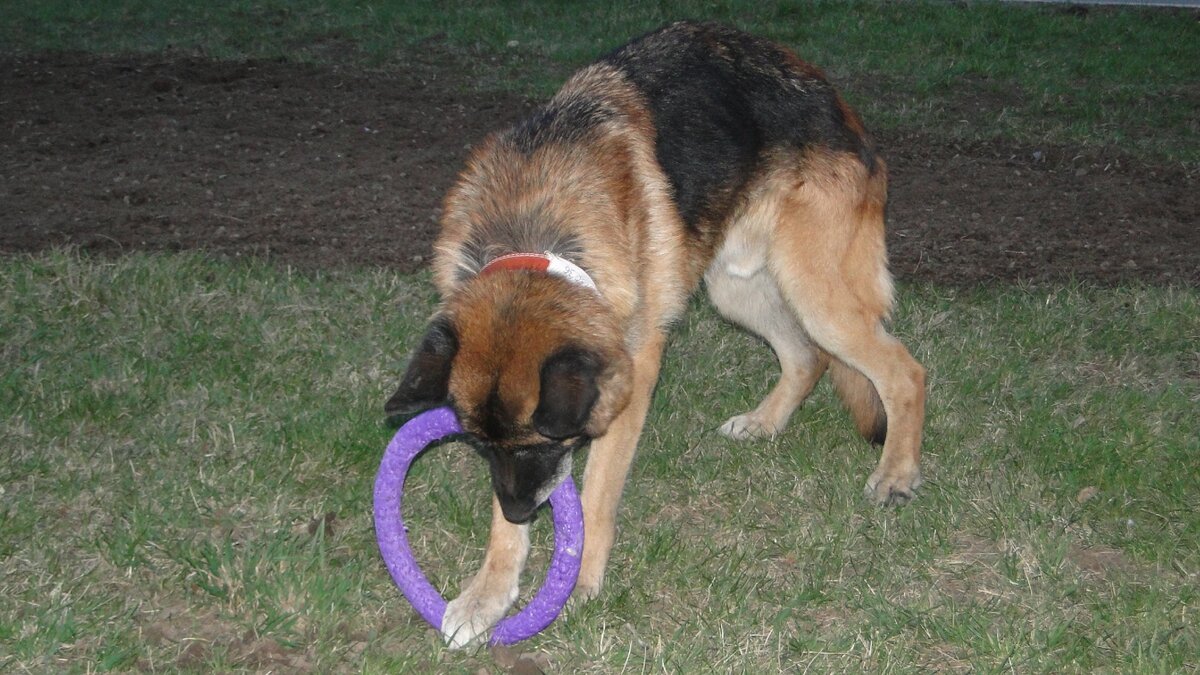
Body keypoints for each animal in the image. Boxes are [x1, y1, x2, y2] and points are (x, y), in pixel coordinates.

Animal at [384, 18, 926, 643]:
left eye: (545, 441)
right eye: (477, 445)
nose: (524, 511)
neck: (535, 233)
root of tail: (836, 102)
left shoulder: (629, 380)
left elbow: (595, 494)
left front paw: (578, 579)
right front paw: (488, 592)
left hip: (815, 292)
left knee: (903, 371)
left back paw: (896, 474)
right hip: (736, 286)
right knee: (806, 358)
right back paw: (765, 423)